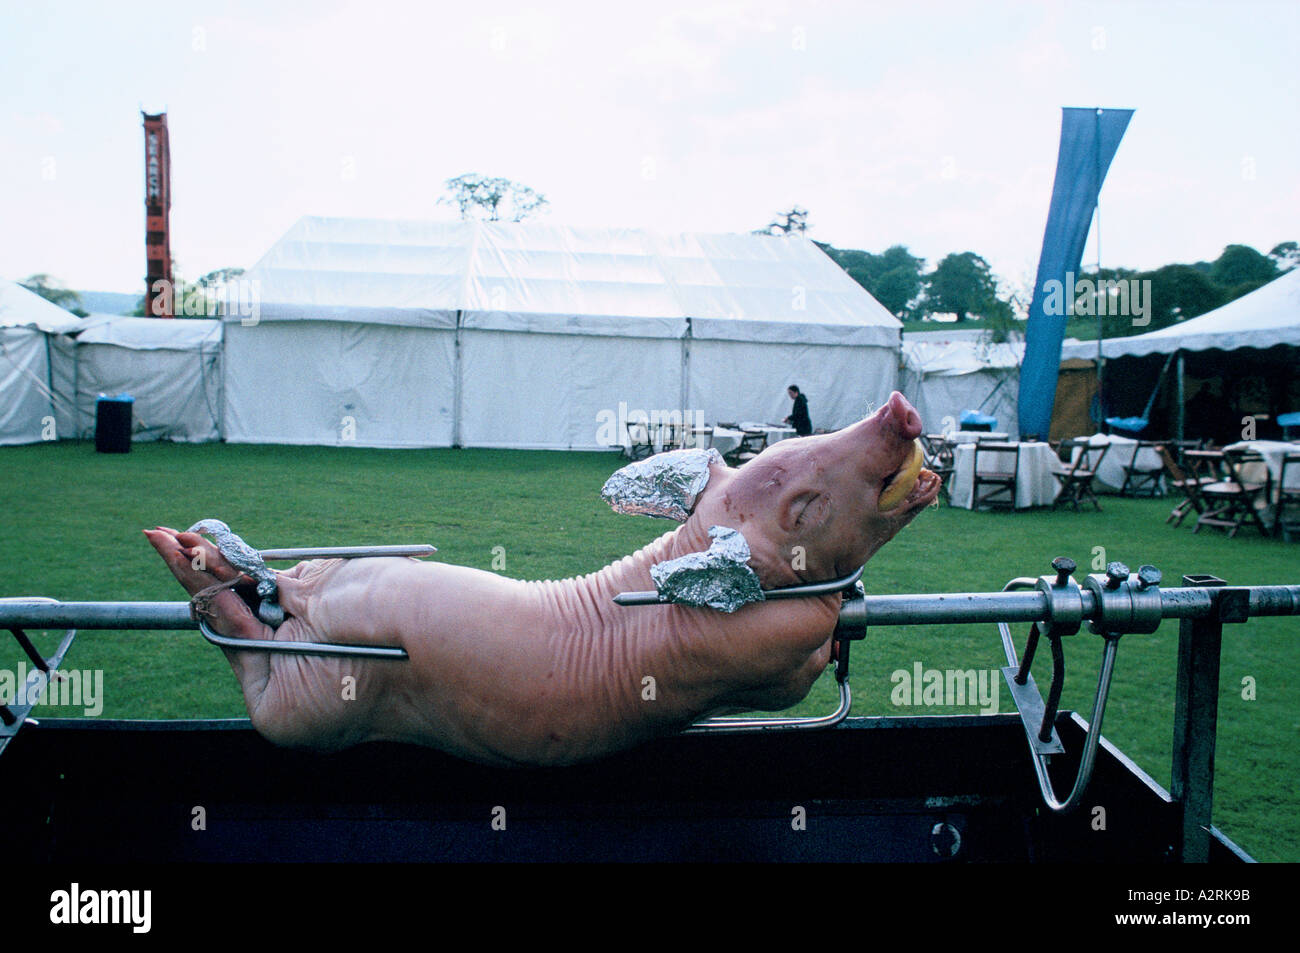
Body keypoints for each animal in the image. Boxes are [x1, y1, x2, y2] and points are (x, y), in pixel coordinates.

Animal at [144, 391, 940, 767]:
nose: (900, 409)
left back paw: (197, 552)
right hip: (319, 701)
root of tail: (298, 601)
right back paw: (186, 550)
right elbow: (797, 664)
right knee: (257, 674)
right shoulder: (770, 648)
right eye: (801, 502)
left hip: (318, 640)